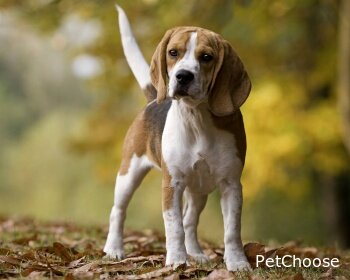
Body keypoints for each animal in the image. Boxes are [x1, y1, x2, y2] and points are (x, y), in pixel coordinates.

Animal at [104, 4, 252, 272]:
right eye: (173, 53)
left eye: (207, 57)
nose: (183, 76)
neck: (197, 119)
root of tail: (152, 98)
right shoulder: (172, 183)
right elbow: (173, 226)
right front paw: (176, 260)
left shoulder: (231, 184)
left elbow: (231, 231)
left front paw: (237, 262)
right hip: (128, 174)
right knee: (118, 211)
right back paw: (114, 249)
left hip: (199, 190)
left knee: (190, 220)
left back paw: (196, 254)